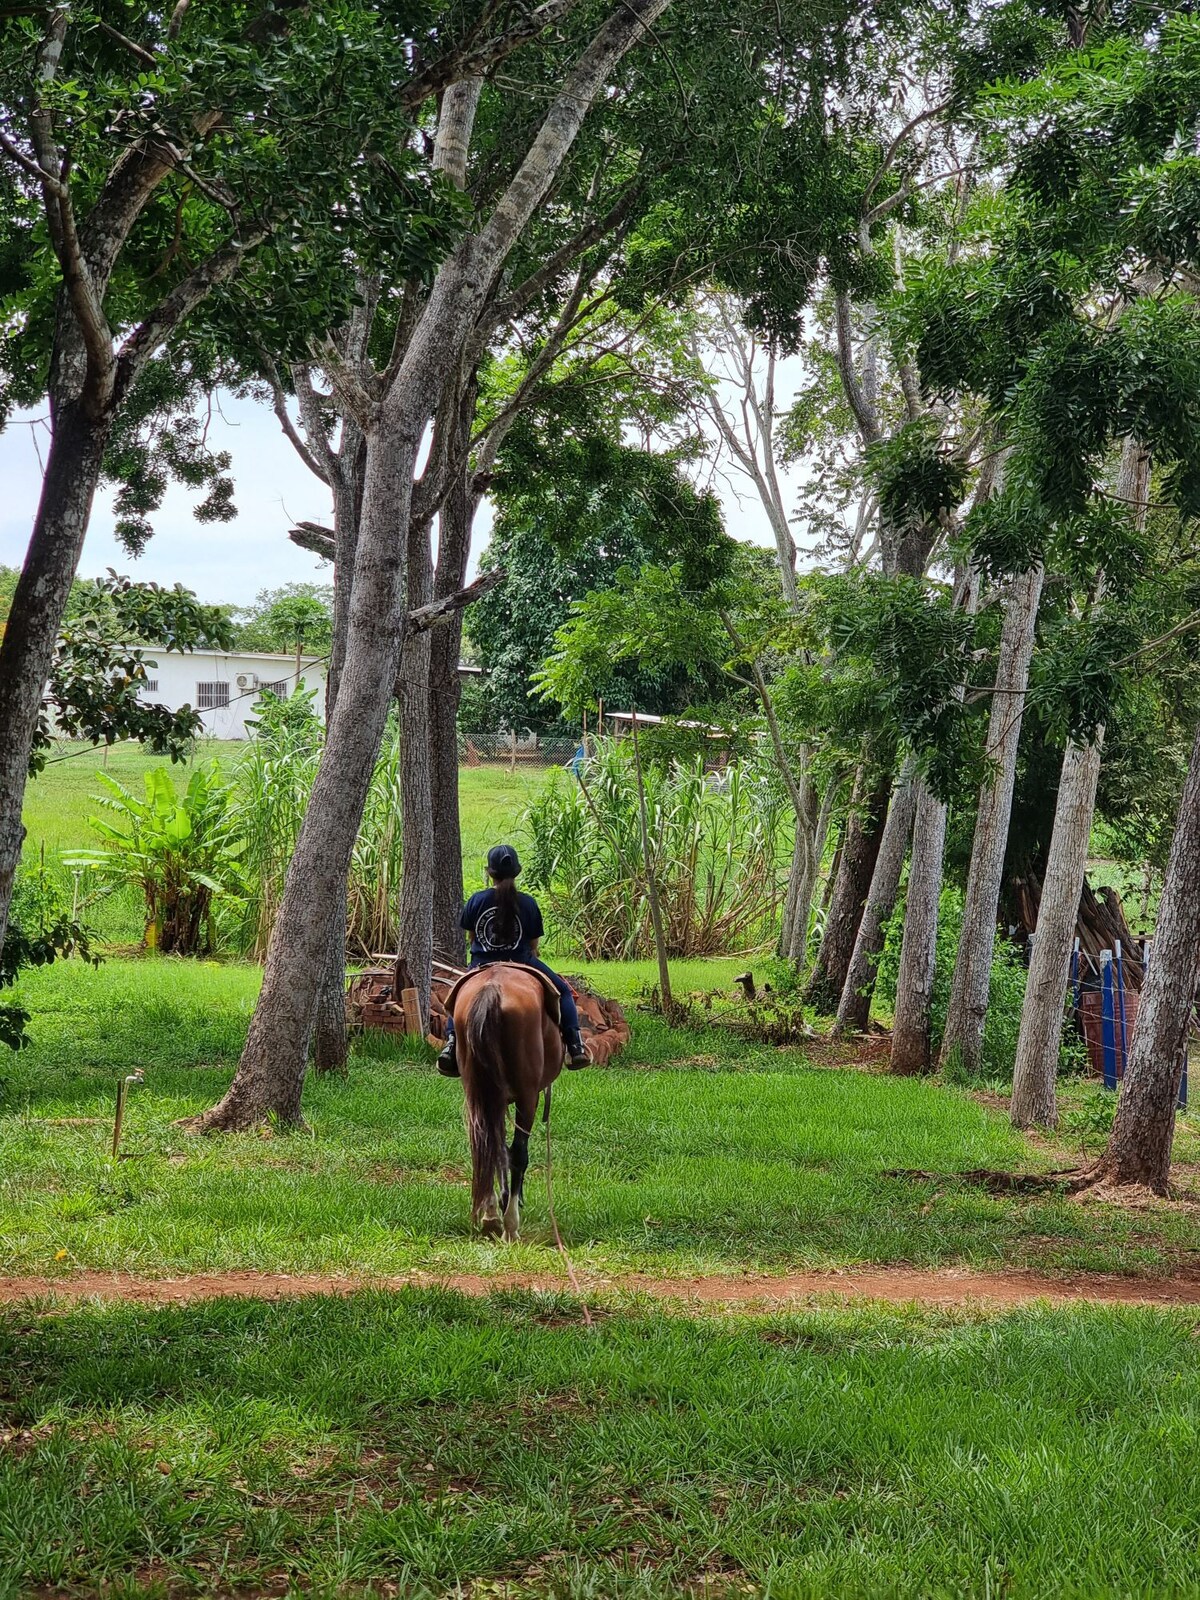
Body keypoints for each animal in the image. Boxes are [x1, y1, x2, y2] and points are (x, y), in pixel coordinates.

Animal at [451, 960, 569, 1235]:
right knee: (518, 1153)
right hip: (527, 1096)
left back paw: (492, 1216)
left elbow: (498, 1148)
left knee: (484, 1145)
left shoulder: (495, 1100)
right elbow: (512, 1151)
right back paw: (511, 1223)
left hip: (477, 1091)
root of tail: (492, 988)